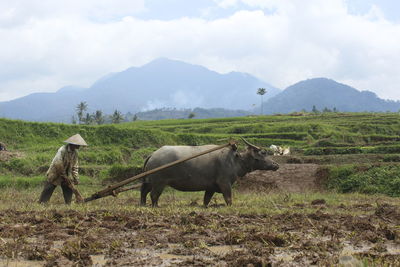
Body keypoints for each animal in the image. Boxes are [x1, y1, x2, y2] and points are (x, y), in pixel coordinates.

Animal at [140, 140, 278, 207]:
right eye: (263, 153)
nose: (276, 165)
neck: (235, 160)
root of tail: (153, 154)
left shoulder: (210, 188)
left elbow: (206, 200)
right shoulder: (225, 183)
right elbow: (228, 199)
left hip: (149, 181)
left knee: (144, 191)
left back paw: (143, 204)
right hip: (159, 182)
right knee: (154, 195)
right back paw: (155, 206)